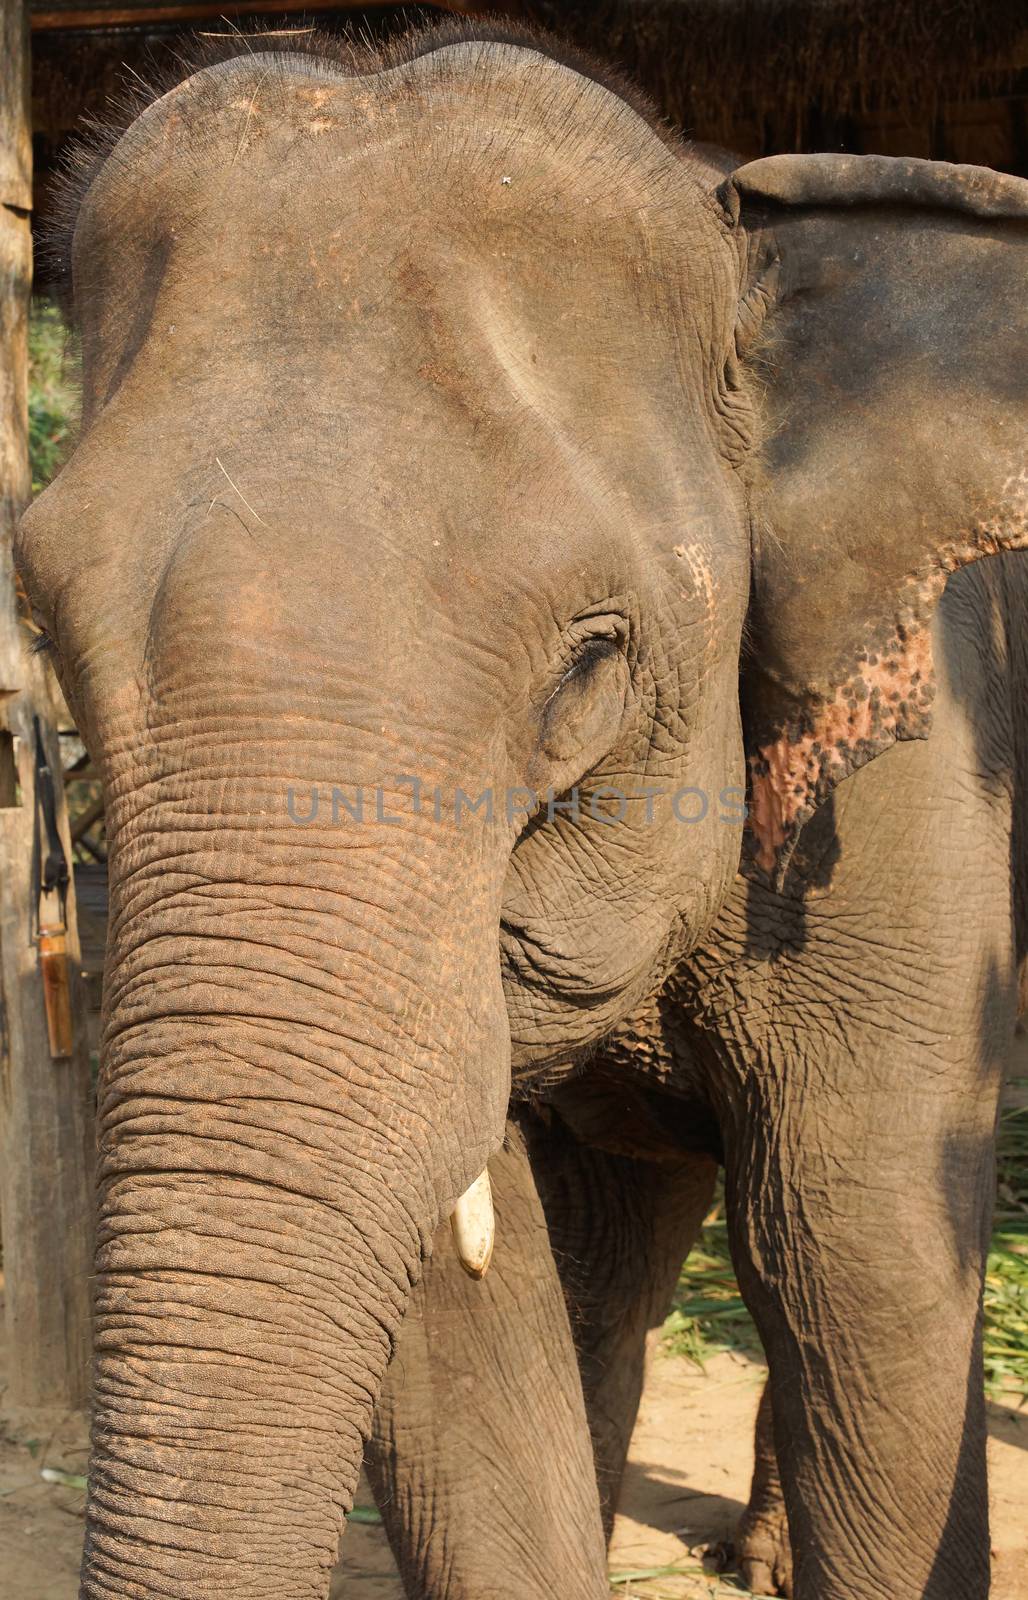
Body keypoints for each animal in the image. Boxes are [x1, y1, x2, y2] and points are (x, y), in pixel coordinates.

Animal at [18, 21, 1024, 1600]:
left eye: (590, 667)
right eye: (47, 624)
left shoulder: (914, 771)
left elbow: (868, 1258)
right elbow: (462, 1342)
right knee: (623, 1248)